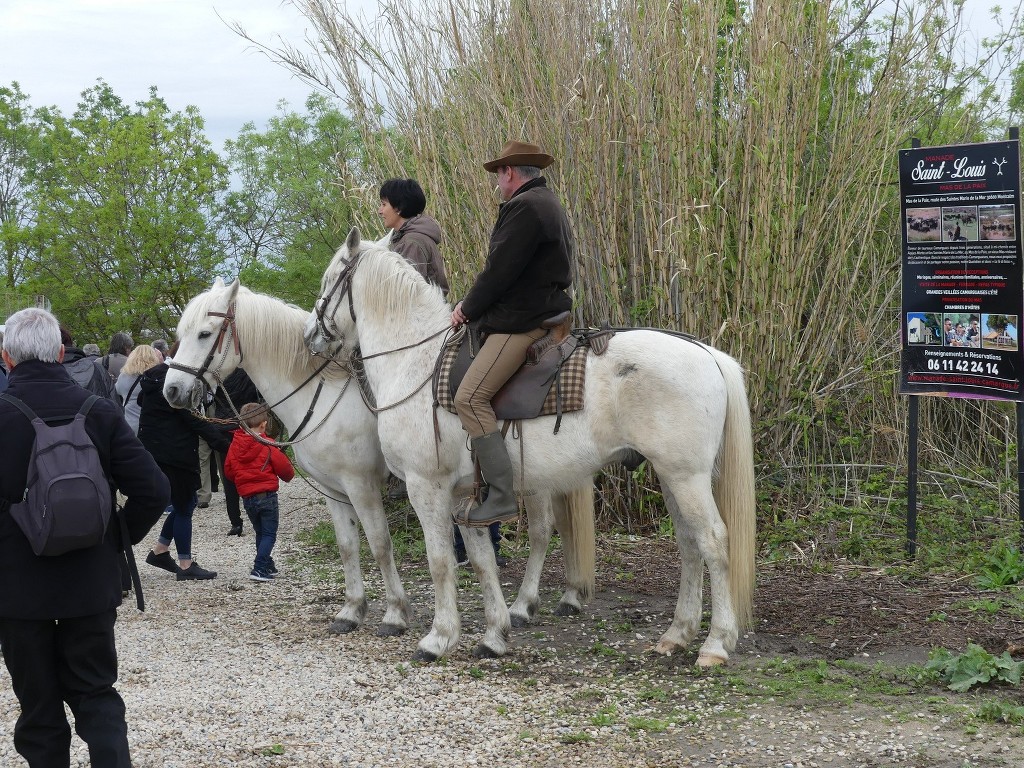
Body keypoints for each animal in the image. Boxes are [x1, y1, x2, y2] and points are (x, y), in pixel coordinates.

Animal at [299, 227, 757, 667]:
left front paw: (438, 638)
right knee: (689, 544)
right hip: (670, 476)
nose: (310, 338)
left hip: (686, 476)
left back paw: (715, 642)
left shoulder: (426, 487)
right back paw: (677, 634)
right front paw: (495, 635)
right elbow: (482, 562)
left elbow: (440, 562)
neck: (418, 363)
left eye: (328, 279)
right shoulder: (467, 498)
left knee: (713, 542)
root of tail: (708, 353)